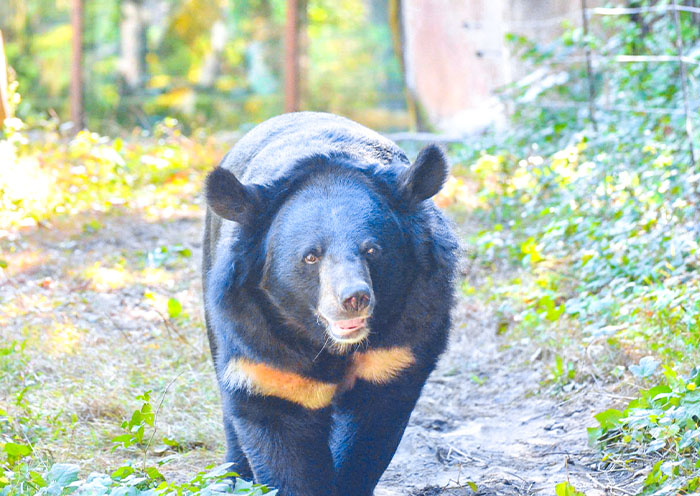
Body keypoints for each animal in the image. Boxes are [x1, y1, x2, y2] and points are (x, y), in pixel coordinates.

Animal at [202, 112, 457, 496]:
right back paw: (232, 476)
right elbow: (278, 426)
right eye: (311, 256)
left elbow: (369, 431)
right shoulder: (263, 349)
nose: (354, 299)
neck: (331, 343)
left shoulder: (402, 338)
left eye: (372, 250)